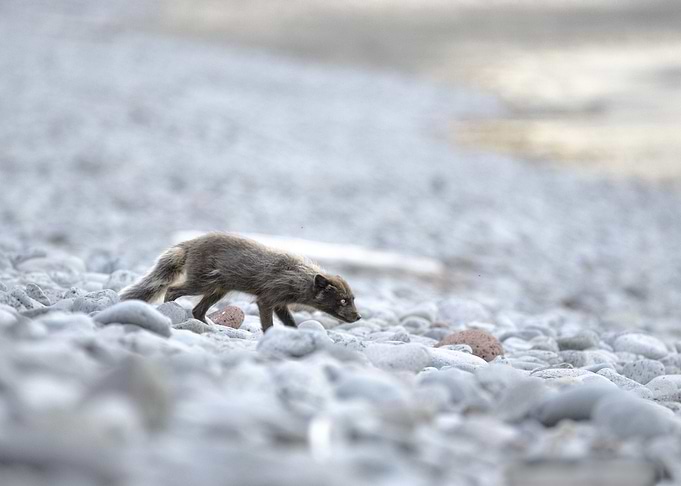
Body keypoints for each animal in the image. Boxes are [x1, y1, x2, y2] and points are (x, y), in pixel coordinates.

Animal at [119, 232, 361, 330]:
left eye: (352, 299)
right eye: (342, 301)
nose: (358, 317)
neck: (298, 275)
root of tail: (189, 243)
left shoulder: (281, 304)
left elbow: (290, 323)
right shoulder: (267, 299)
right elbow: (268, 323)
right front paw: (269, 335)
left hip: (219, 289)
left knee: (198, 310)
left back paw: (211, 326)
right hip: (201, 283)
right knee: (172, 289)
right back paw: (168, 311)